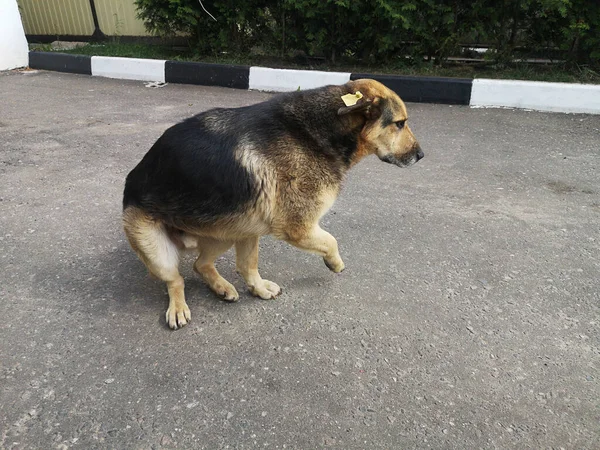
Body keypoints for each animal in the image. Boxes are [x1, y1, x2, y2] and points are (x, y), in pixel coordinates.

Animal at [123, 79, 422, 328]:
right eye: (399, 123)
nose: (421, 155)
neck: (318, 132)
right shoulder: (298, 228)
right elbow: (331, 240)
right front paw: (335, 263)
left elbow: (250, 264)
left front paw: (259, 287)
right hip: (159, 251)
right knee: (176, 279)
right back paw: (178, 307)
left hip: (231, 229)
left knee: (204, 264)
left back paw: (226, 286)